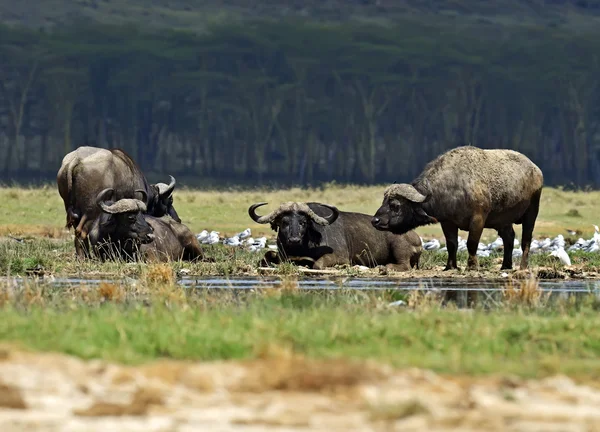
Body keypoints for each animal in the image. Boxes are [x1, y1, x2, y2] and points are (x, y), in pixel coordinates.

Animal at [248, 202, 422, 270]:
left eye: (303, 222)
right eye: (284, 222)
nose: (294, 240)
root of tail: (417, 239)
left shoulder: (340, 256)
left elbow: (318, 264)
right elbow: (265, 257)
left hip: (399, 246)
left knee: (404, 265)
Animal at [370, 147, 544, 272]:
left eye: (395, 205)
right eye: (384, 201)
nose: (375, 220)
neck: (452, 188)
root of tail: (536, 170)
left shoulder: (478, 219)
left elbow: (471, 243)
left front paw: (472, 266)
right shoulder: (447, 222)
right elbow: (451, 244)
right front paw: (450, 266)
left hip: (532, 212)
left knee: (526, 240)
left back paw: (522, 266)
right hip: (503, 220)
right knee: (509, 238)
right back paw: (505, 266)